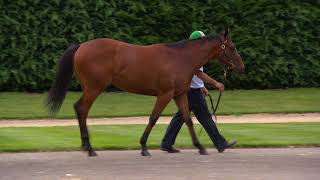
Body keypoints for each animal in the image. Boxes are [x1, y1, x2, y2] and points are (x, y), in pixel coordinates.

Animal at [45, 29, 245, 156]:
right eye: (232, 47)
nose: (242, 67)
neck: (181, 58)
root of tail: (81, 46)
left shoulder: (179, 94)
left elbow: (187, 118)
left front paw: (200, 146)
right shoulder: (165, 94)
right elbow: (153, 118)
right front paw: (143, 147)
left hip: (91, 88)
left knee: (81, 110)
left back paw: (87, 147)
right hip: (94, 88)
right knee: (81, 109)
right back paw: (90, 148)